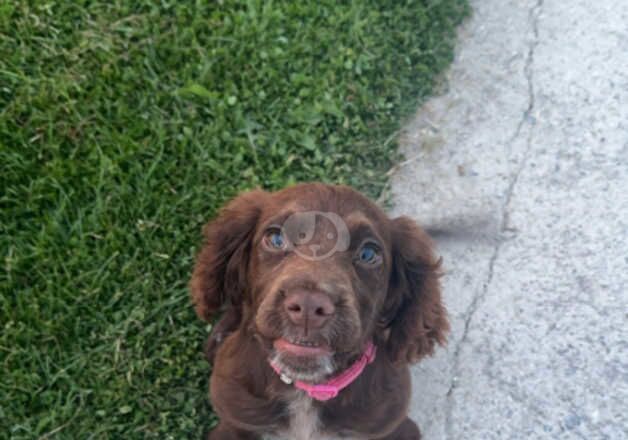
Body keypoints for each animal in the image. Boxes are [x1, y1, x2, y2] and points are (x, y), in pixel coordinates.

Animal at [189, 183, 448, 440]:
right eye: (275, 238)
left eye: (369, 254)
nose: (308, 306)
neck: (308, 390)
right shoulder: (235, 423)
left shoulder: (394, 428)